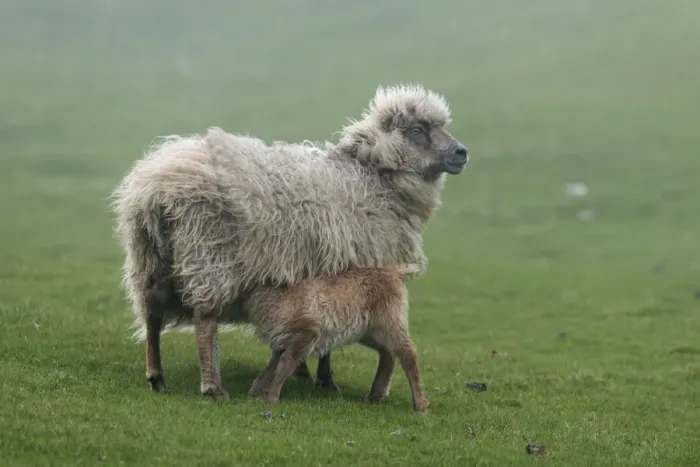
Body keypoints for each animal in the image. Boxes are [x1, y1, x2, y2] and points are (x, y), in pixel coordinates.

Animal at [242, 264, 428, 411]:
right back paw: (375, 395)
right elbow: (273, 363)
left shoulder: (306, 332)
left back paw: (419, 404)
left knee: (407, 352)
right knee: (388, 353)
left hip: (389, 318)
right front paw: (256, 390)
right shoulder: (284, 338)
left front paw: (270, 398)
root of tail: (396, 272)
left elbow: (285, 364)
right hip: (369, 330)